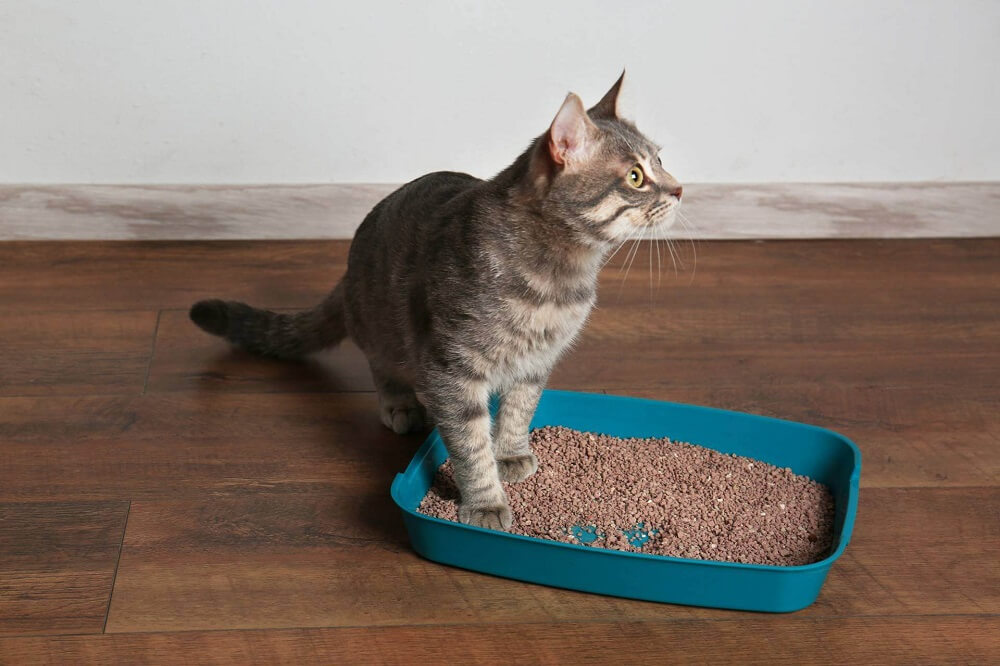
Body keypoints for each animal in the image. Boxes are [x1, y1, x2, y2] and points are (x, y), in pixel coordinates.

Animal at [191, 72, 684, 528]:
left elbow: (519, 410)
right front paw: (485, 501)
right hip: (382, 328)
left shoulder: (535, 362)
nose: (679, 190)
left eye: (661, 160)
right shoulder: (452, 368)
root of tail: (348, 272)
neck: (560, 277)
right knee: (383, 367)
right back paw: (402, 404)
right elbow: (470, 443)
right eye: (636, 177)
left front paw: (510, 453)